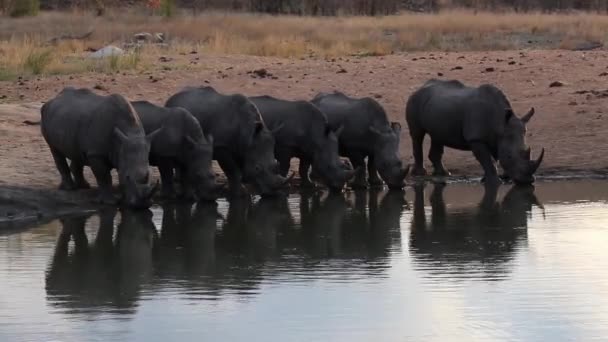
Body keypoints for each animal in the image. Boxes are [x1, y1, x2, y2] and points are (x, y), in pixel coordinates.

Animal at [406, 79, 544, 186]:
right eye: (509, 156)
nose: (528, 181)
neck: (500, 124)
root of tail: (420, 87)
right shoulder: (476, 138)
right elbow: (487, 159)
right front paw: (495, 182)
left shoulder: (494, 138)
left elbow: (492, 159)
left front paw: (487, 179)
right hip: (414, 100)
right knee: (417, 135)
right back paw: (420, 173)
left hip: (437, 107)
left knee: (437, 136)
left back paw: (444, 173)